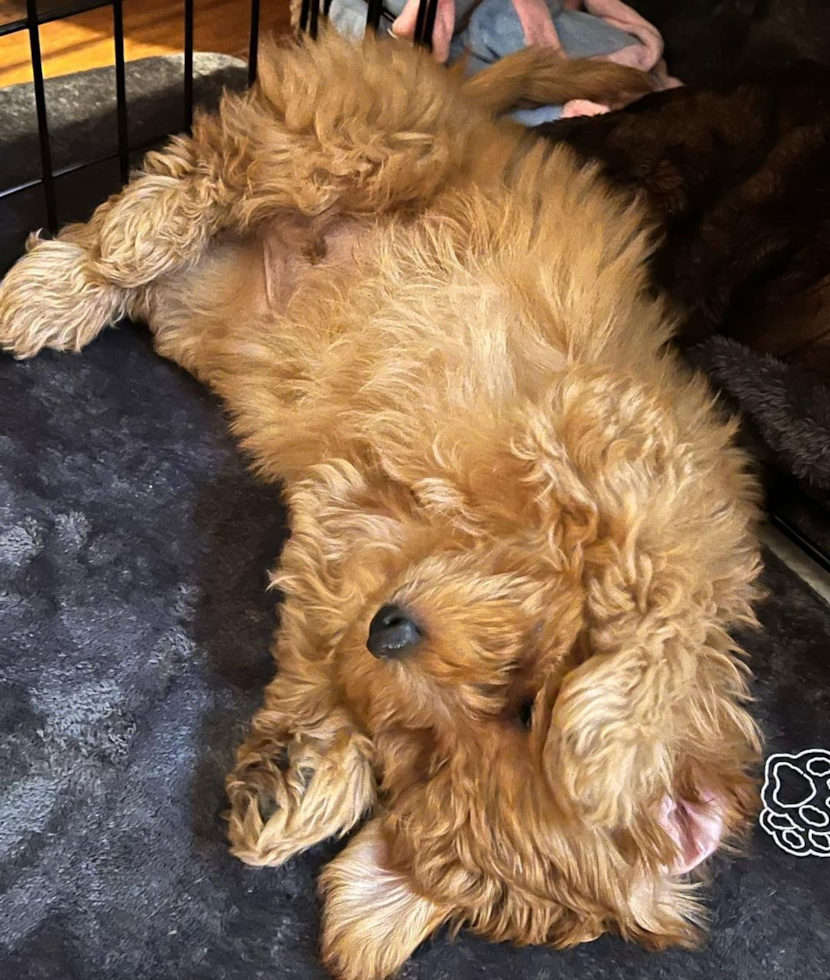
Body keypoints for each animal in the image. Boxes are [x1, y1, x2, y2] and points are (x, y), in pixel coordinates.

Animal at [0, 30, 764, 980]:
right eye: (524, 707)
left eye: (436, 748)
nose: (390, 628)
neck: (467, 536)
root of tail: (463, 91)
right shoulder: (629, 448)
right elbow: (658, 598)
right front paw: (605, 741)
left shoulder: (342, 531)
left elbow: (323, 650)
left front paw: (302, 779)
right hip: (373, 133)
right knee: (219, 164)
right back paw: (101, 255)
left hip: (210, 305)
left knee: (172, 242)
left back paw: (64, 284)